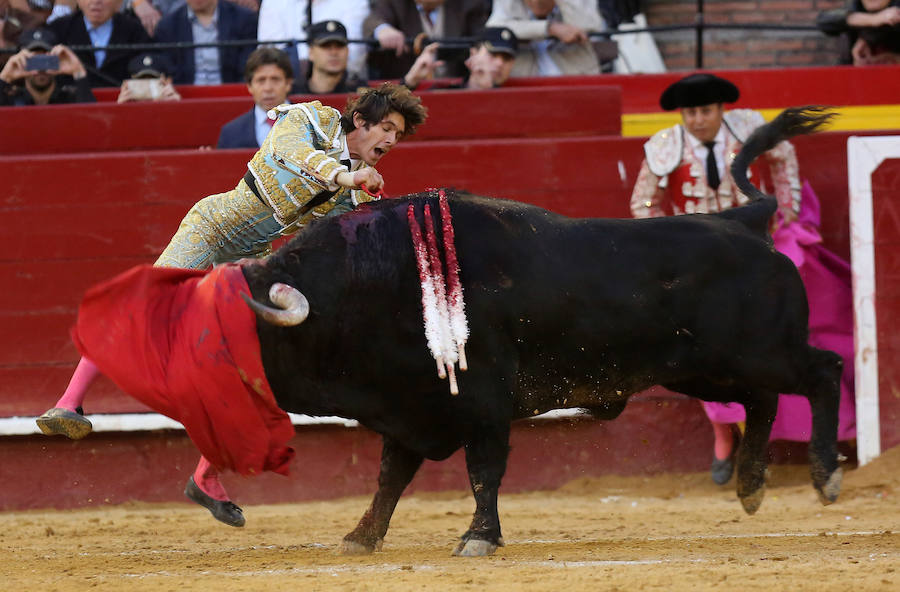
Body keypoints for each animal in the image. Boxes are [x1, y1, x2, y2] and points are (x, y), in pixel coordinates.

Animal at [241, 106, 844, 556]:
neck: (369, 282)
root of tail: (744, 219)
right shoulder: (412, 404)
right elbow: (391, 476)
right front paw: (361, 536)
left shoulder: (481, 398)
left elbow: (483, 468)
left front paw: (479, 538)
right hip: (703, 370)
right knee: (763, 400)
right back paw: (751, 487)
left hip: (760, 352)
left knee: (823, 371)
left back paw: (823, 476)